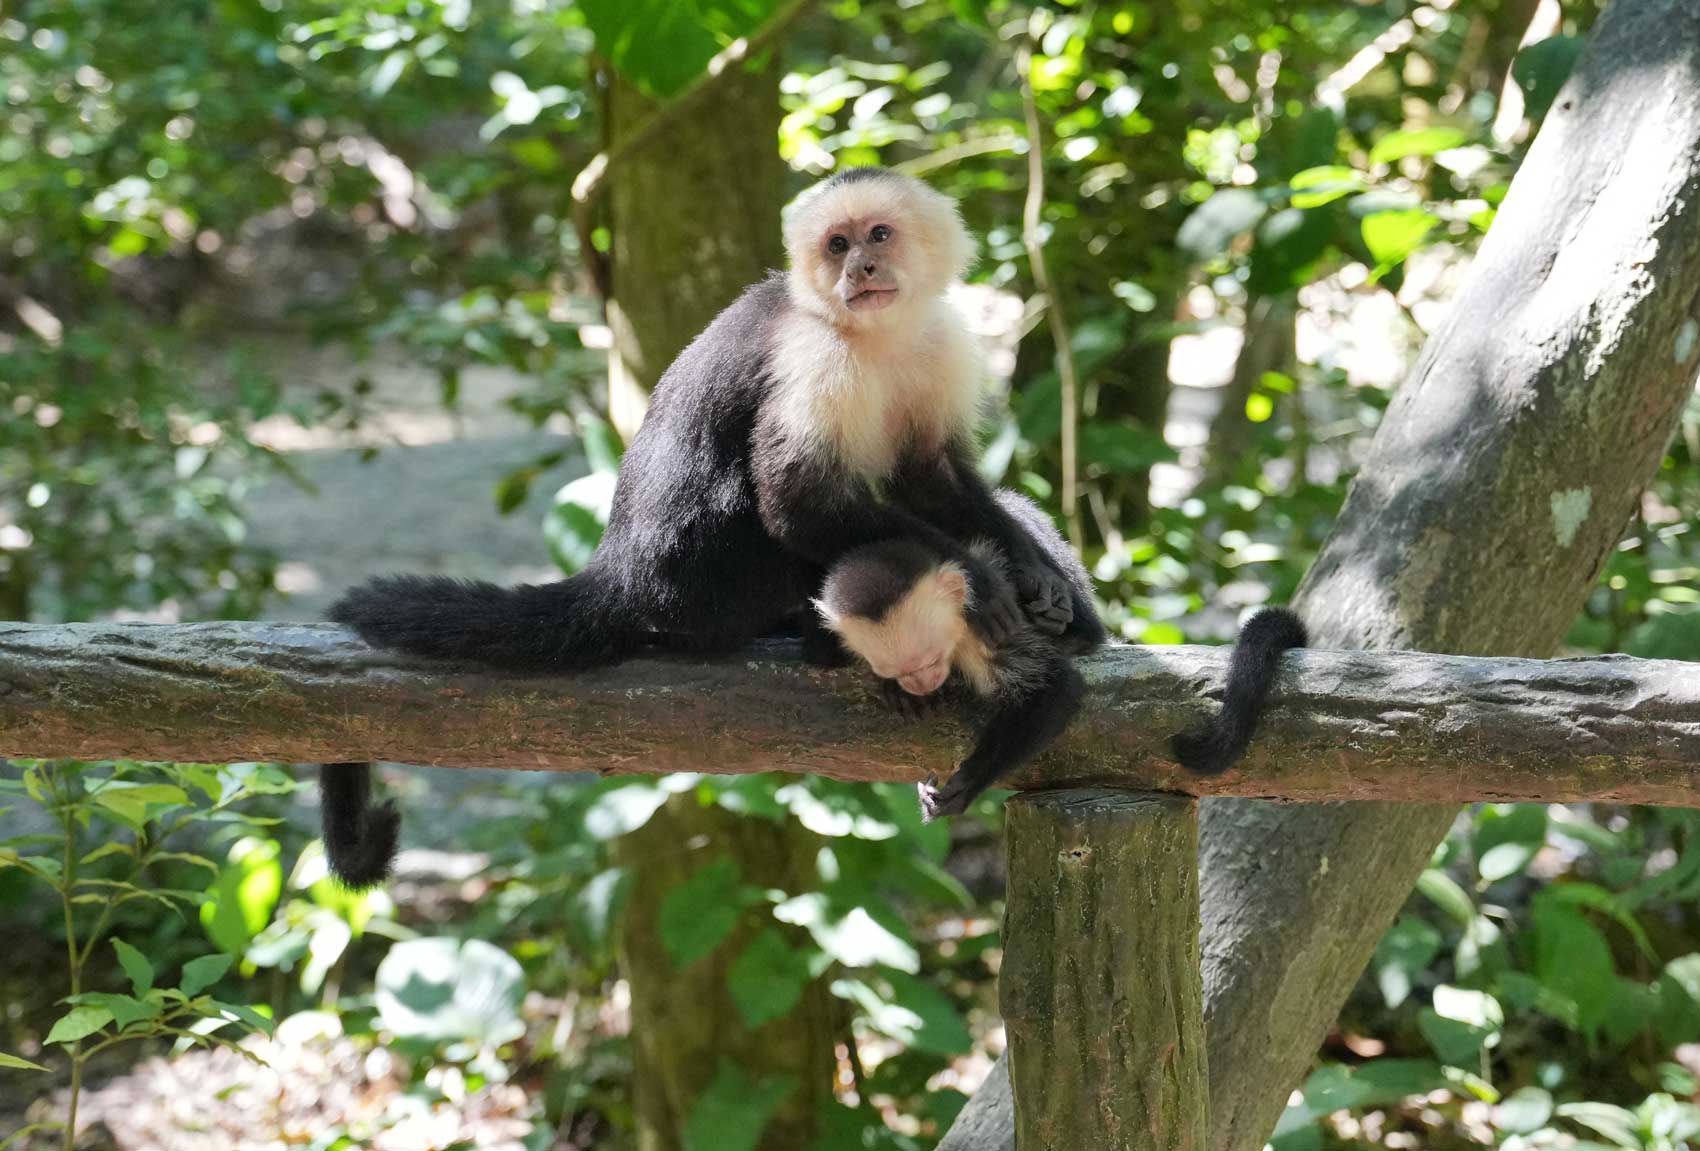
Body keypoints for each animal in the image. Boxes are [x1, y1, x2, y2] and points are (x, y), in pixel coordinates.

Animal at [815, 489, 1106, 820]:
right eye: (894, 671)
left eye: (931, 658)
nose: (921, 684)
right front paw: (899, 691)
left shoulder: (987, 627)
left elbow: (1057, 685)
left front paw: (964, 785)